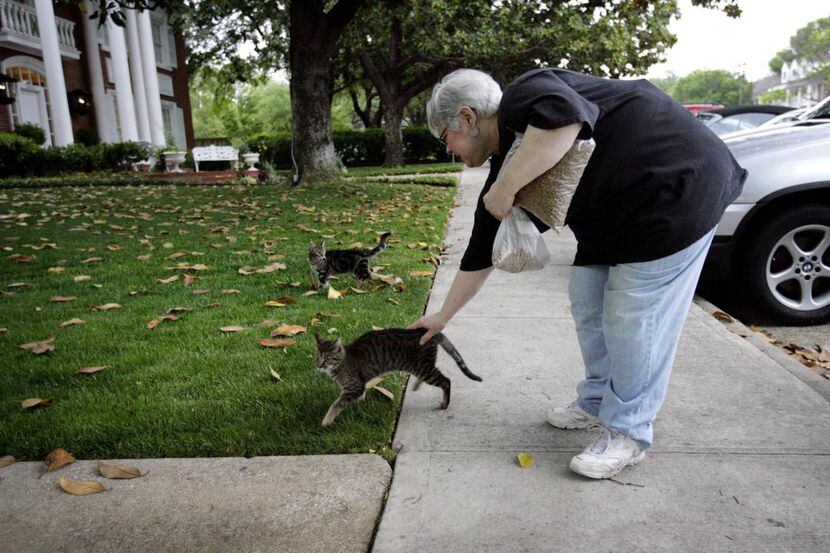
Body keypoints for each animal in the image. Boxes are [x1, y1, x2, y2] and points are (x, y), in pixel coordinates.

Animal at [312, 328, 480, 426]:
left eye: (327, 359)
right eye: (317, 356)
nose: (319, 366)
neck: (342, 363)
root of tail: (424, 330)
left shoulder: (354, 387)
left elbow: (336, 404)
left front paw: (326, 420)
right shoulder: (357, 386)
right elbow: (355, 396)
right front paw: (359, 401)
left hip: (423, 368)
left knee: (446, 381)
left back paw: (445, 403)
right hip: (424, 367)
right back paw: (416, 385)